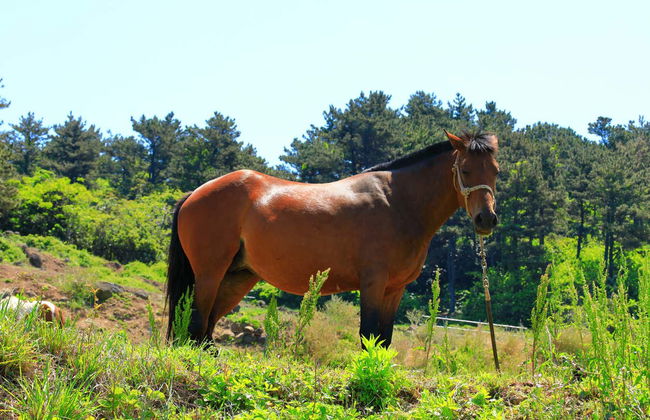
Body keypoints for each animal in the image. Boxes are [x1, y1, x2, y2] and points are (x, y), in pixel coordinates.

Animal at [166, 130, 499, 347]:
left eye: (495, 171)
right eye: (465, 169)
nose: (486, 219)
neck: (398, 202)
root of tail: (195, 193)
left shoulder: (395, 289)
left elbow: (385, 340)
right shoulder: (373, 283)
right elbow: (368, 335)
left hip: (237, 278)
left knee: (206, 327)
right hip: (209, 274)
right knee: (196, 323)